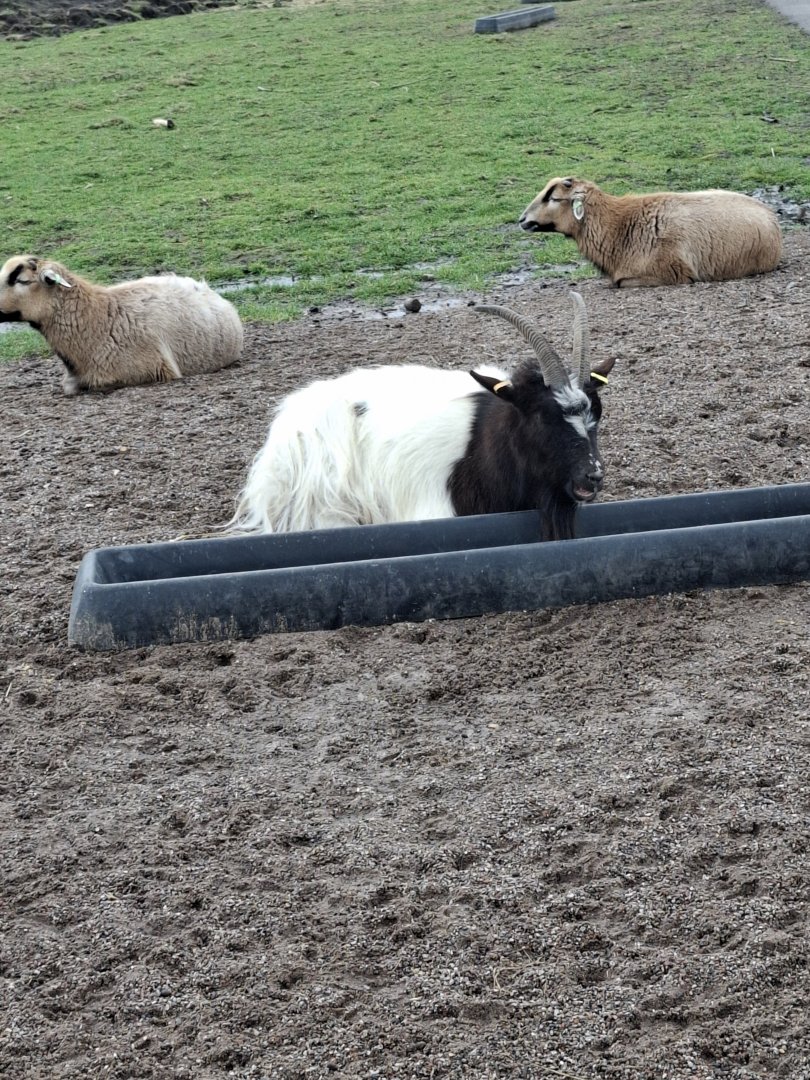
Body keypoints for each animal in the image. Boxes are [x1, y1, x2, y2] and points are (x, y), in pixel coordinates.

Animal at [519, 177, 782, 288]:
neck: (618, 226)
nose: (522, 220)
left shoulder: (671, 273)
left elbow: (618, 283)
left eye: (553, 198)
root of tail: (770, 213)